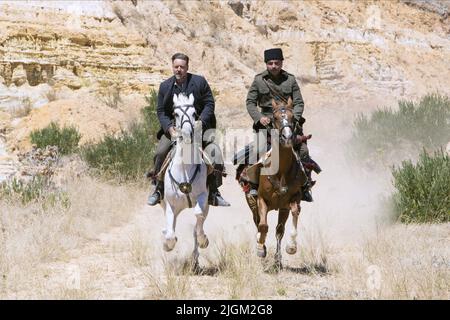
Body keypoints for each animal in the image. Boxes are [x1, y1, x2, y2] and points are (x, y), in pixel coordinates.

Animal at [161, 92, 210, 258]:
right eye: (175, 114)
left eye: (194, 113)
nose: (188, 134)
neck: (184, 168)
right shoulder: (170, 203)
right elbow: (170, 234)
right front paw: (167, 245)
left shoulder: (203, 197)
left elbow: (198, 215)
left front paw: (203, 240)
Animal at [244, 96, 308, 268]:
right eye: (275, 117)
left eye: (293, 118)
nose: (287, 137)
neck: (281, 171)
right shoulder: (261, 200)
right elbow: (263, 225)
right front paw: (260, 249)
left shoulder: (291, 200)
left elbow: (291, 218)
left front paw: (291, 247)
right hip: (252, 202)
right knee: (258, 222)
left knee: (279, 230)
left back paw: (278, 258)